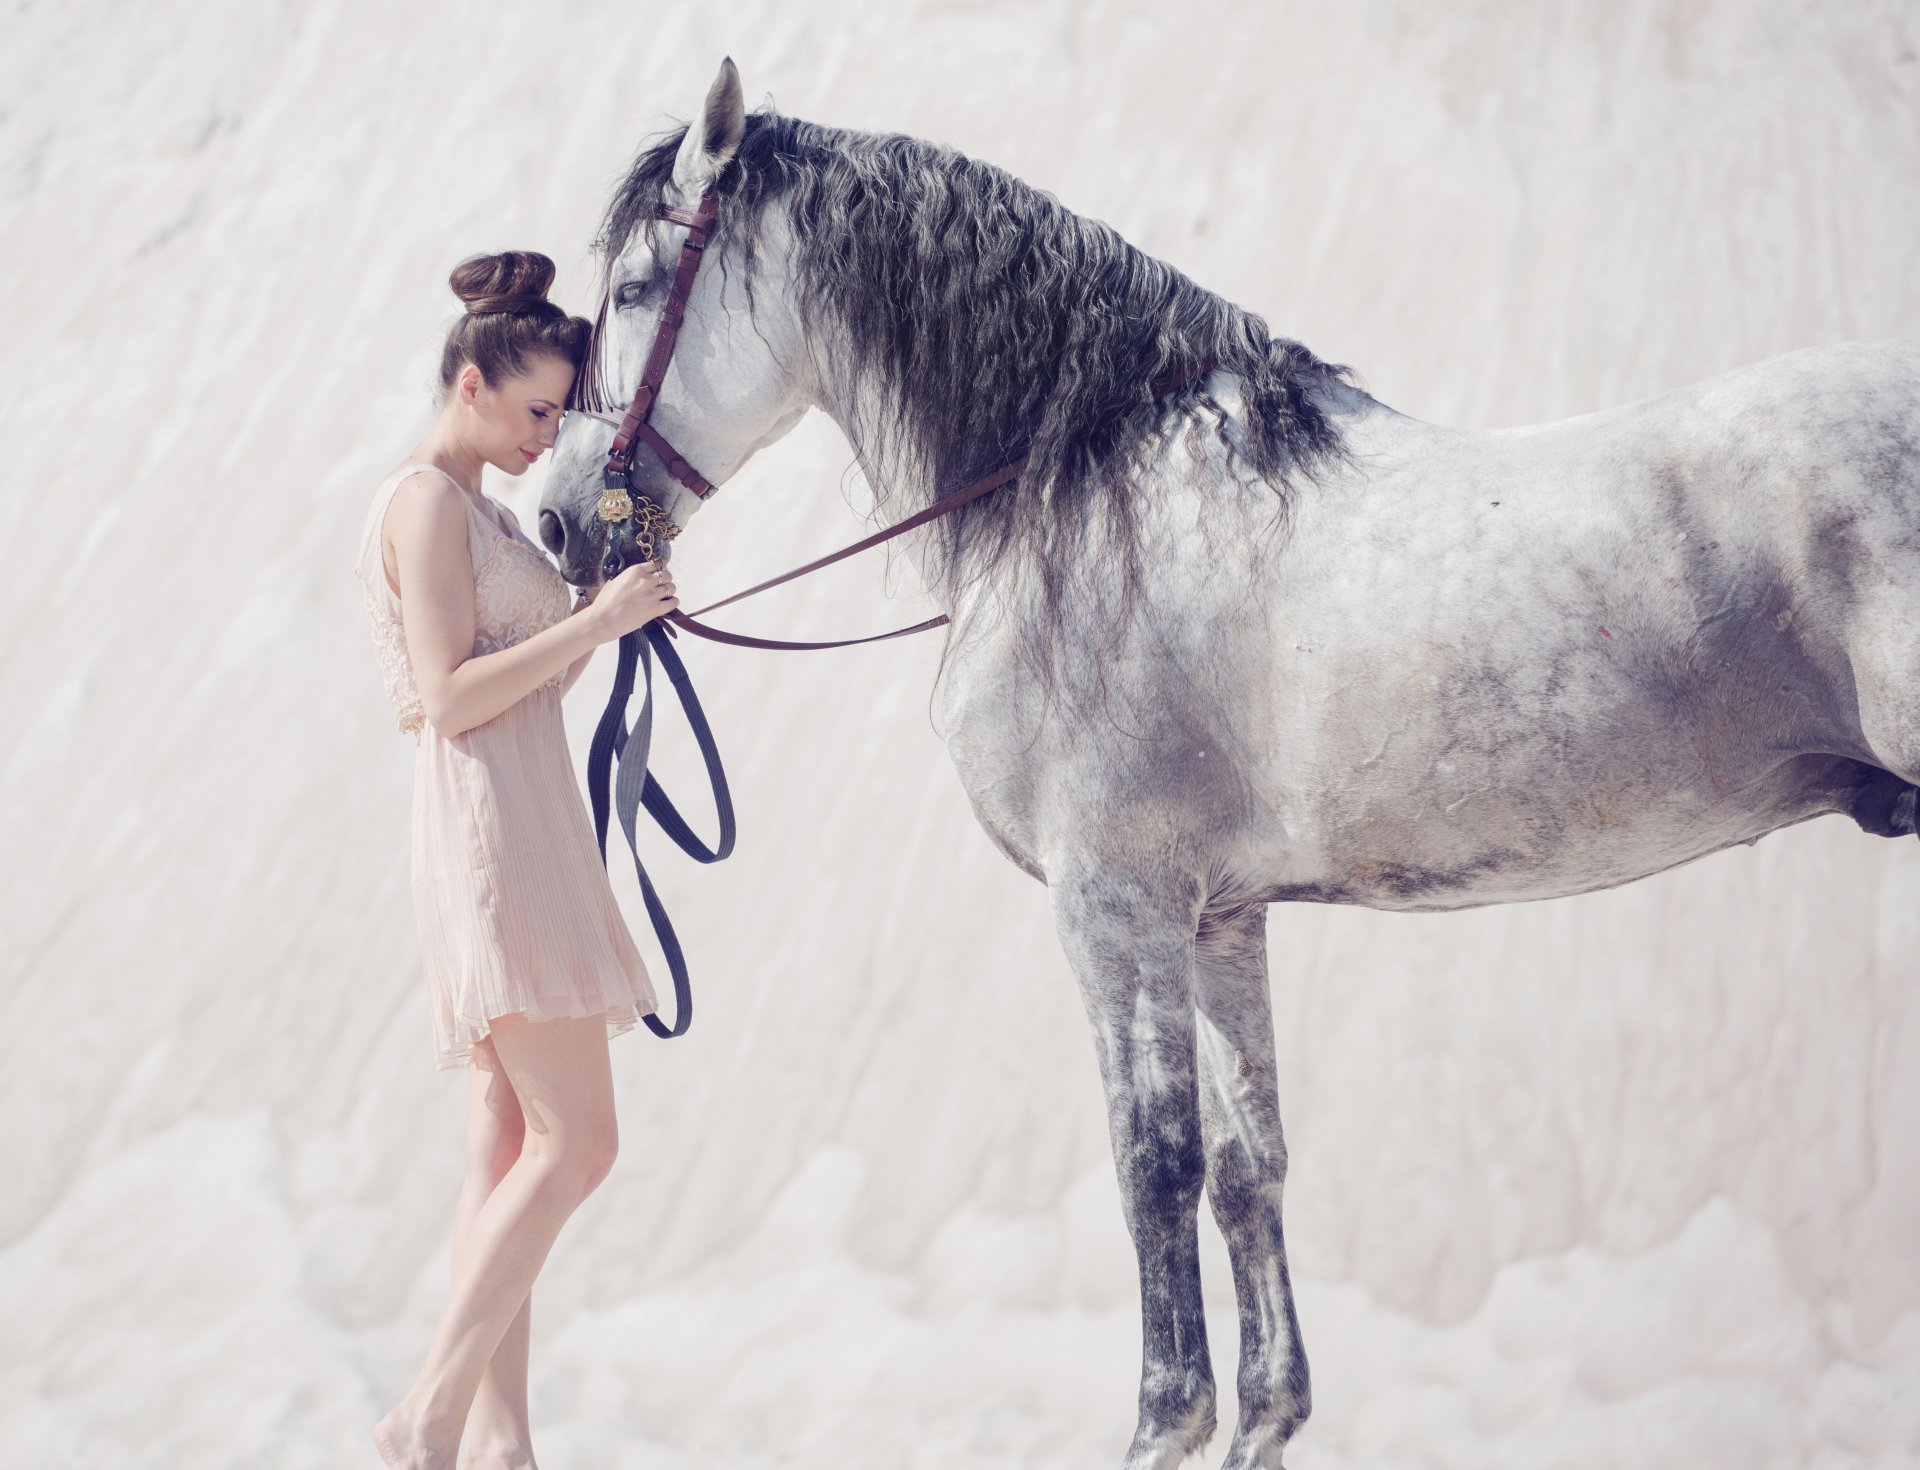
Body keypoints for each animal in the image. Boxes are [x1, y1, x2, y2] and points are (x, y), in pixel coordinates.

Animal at [535, 57, 1920, 1470]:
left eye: (636, 285)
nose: (557, 518)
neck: (1093, 499)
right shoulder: (1221, 919)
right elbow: (1251, 1164)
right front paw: (1260, 1417)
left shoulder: (1117, 906)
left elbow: (1156, 1165)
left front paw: (1167, 1421)